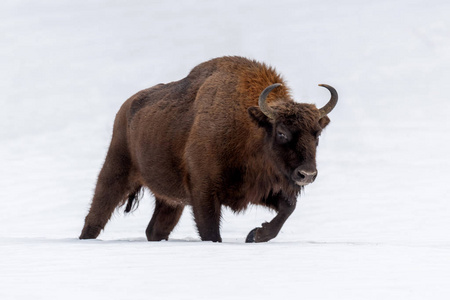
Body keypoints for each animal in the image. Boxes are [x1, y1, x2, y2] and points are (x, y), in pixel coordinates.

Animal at [79, 56, 336, 244]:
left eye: (317, 134)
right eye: (281, 132)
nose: (307, 174)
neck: (248, 125)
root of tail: (126, 108)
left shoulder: (258, 189)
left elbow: (288, 207)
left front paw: (255, 235)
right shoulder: (205, 192)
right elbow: (211, 231)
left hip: (171, 200)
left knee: (155, 229)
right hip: (116, 171)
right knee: (96, 215)